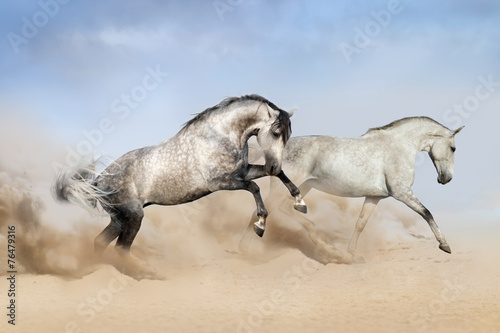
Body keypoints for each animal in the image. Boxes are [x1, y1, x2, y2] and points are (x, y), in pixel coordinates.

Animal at [242, 116, 464, 262]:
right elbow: (426, 213)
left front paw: (354, 254)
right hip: (288, 188)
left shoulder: (374, 197)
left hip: (302, 188)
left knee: (274, 210)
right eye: (453, 148)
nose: (446, 179)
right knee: (268, 210)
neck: (398, 146)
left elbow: (360, 223)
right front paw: (445, 245)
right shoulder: (402, 193)